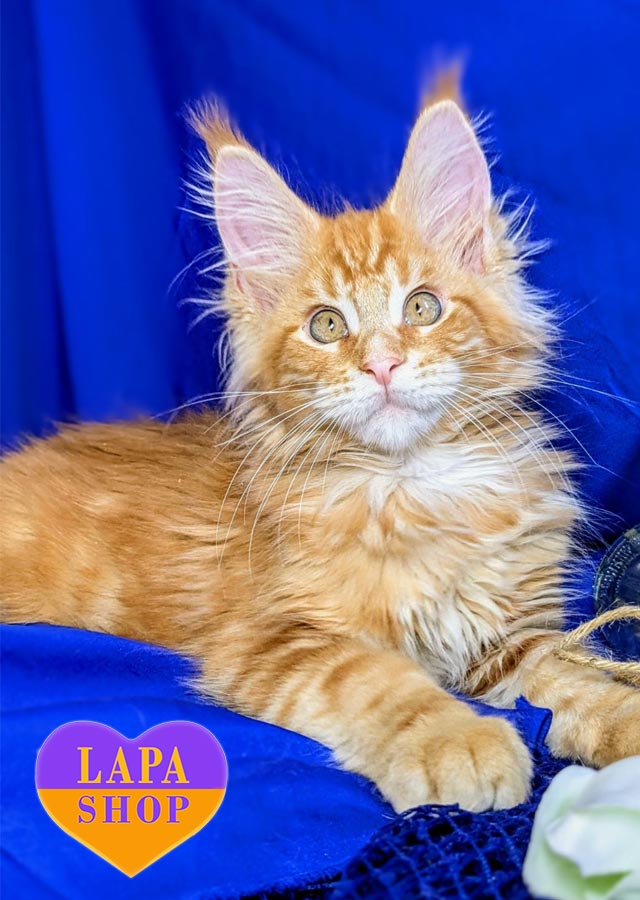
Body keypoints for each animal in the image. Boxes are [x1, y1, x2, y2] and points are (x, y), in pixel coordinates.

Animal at [2, 76, 638, 814]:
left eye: (422, 308)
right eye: (326, 325)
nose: (382, 365)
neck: (413, 486)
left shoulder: (508, 638)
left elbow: (577, 683)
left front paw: (624, 720)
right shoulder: (275, 638)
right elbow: (375, 680)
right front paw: (455, 740)